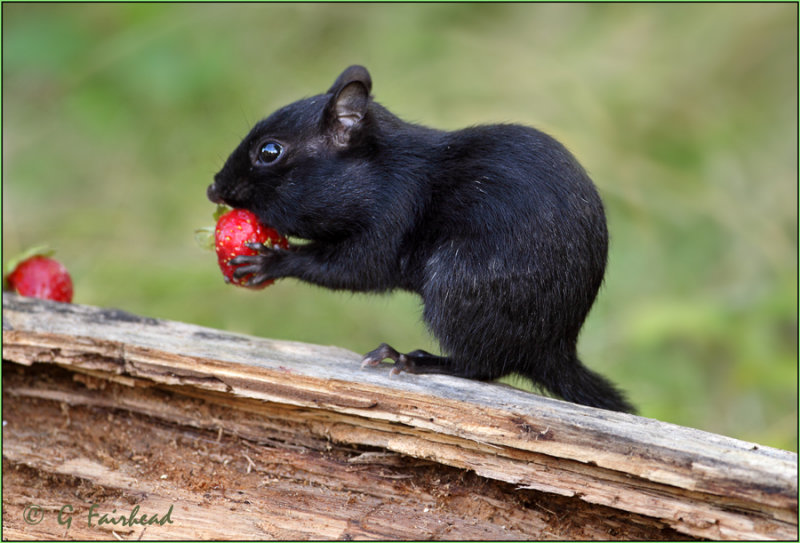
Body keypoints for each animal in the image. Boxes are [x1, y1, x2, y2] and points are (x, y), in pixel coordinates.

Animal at [209, 65, 636, 412]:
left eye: (270, 151)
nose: (214, 189)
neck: (383, 171)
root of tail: (553, 347)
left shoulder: (393, 214)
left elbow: (357, 269)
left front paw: (268, 261)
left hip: (458, 283)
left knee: (484, 366)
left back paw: (412, 359)